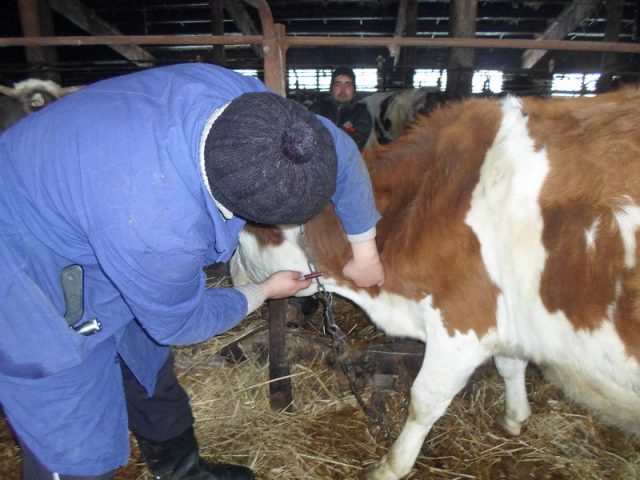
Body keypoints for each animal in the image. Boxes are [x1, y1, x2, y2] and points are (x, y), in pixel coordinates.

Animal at [232, 87, 640, 480]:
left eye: (248, 231)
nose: (230, 270)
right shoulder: (503, 318)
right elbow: (510, 366)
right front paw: (514, 417)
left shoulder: (462, 322)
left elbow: (425, 399)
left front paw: (390, 466)